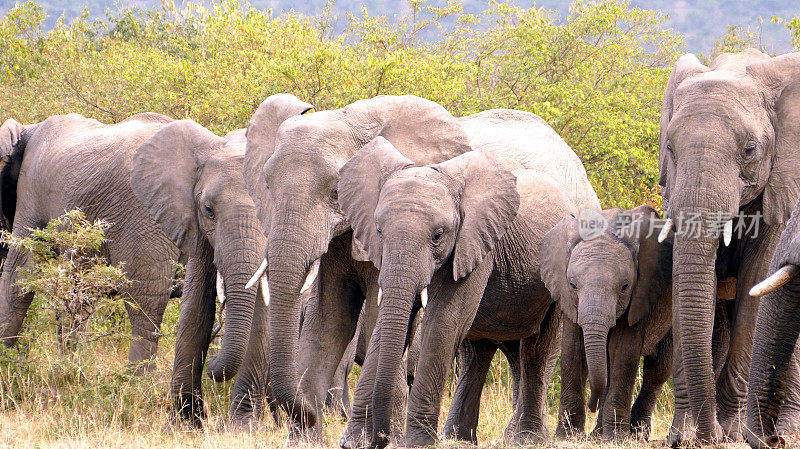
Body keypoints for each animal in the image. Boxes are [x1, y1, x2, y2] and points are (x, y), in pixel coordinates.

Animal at [656, 49, 800, 440]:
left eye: (750, 150)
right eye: (670, 147)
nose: (712, 436)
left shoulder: (780, 189)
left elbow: (756, 282)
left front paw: (732, 434)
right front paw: (684, 437)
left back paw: (784, 431)